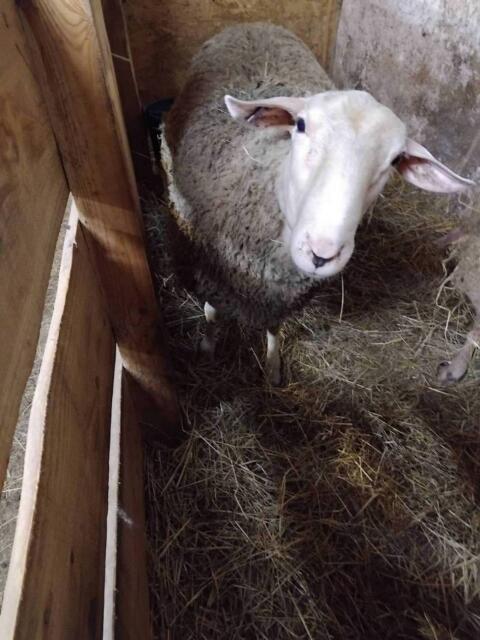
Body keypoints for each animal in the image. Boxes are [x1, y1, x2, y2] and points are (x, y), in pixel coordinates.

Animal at [161, 22, 474, 384]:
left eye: (396, 160)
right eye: (300, 125)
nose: (321, 253)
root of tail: (254, 24)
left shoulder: (280, 297)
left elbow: (273, 328)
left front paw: (273, 368)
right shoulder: (205, 265)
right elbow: (212, 313)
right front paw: (207, 348)